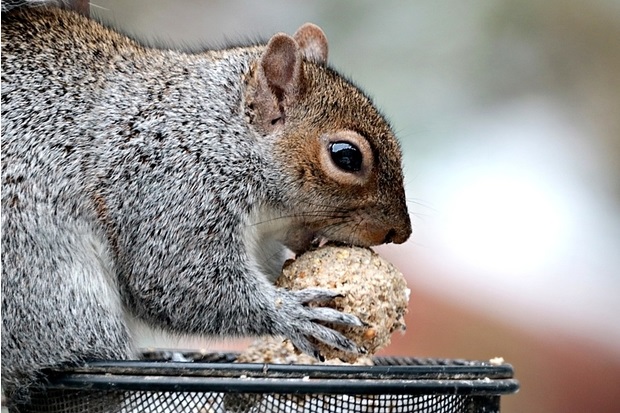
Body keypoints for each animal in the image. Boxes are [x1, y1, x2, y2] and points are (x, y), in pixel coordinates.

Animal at [2, 0, 414, 406]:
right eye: (346, 157)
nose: (400, 233)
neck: (219, 134)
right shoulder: (169, 189)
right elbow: (176, 279)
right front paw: (294, 314)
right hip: (50, 283)